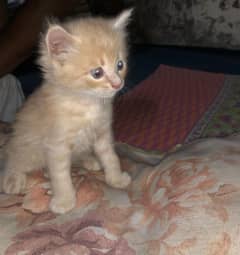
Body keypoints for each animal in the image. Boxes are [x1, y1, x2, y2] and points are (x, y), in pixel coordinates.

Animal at [1, 9, 132, 213]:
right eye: (97, 73)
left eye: (120, 65)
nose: (118, 84)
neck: (87, 104)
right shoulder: (57, 145)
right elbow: (61, 176)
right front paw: (64, 201)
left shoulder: (102, 134)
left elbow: (111, 157)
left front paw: (116, 179)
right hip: (27, 147)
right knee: (14, 158)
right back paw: (13, 178)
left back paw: (89, 160)